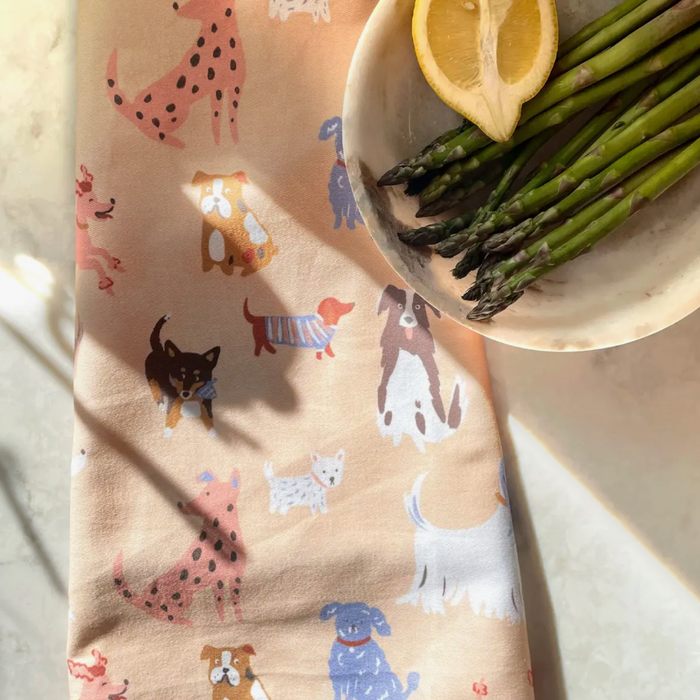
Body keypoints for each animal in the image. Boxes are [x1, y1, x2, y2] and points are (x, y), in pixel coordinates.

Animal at [75, 165, 123, 295]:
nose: (112, 200)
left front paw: (113, 263)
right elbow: (96, 263)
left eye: (96, 197)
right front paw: (105, 283)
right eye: (91, 200)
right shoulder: (82, 261)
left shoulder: (89, 249)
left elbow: (102, 251)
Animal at [106, 0, 246, 148]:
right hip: (176, 114)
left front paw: (222, 140)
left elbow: (218, 117)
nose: (175, 5)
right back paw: (178, 142)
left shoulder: (220, 89)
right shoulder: (233, 86)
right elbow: (231, 118)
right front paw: (231, 138)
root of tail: (133, 107)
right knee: (155, 133)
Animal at [114, 470, 246, 625]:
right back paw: (188, 622)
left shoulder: (228, 578)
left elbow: (229, 603)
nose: (181, 504)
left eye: (207, 493)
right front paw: (229, 619)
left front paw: (234, 620)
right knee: (167, 615)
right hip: (183, 596)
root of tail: (143, 599)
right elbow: (225, 603)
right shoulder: (223, 578)